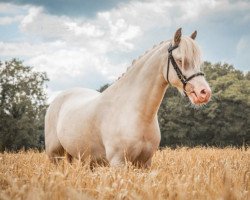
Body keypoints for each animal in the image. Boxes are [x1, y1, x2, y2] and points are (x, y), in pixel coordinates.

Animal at [44, 28, 211, 167]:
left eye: (198, 61)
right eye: (180, 60)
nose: (204, 92)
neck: (136, 113)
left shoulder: (144, 163)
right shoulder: (118, 163)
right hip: (55, 157)